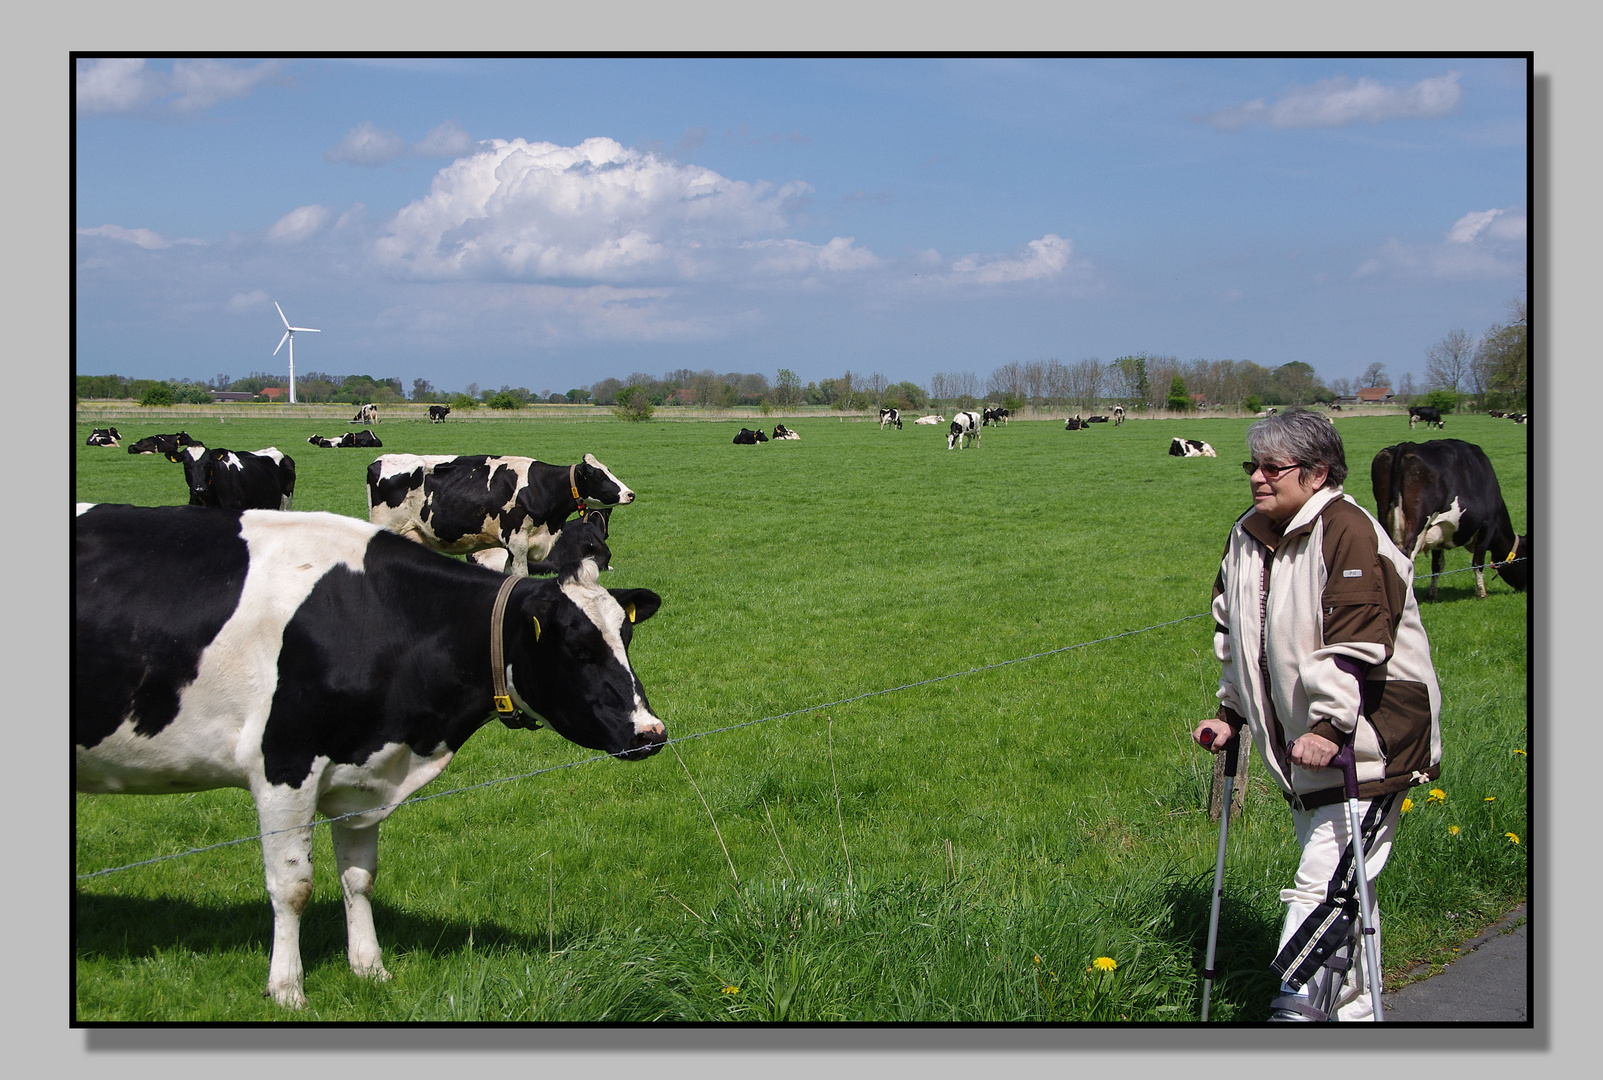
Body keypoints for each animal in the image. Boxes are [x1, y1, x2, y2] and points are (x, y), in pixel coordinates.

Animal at [73, 499, 663, 1006]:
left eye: (627, 638)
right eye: (578, 649)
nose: (650, 732)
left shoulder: (362, 775)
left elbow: (359, 878)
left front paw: (370, 968)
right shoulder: (283, 763)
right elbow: (292, 886)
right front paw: (287, 989)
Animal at [1365, 442, 1526, 602]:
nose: (1523, 589)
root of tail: (1405, 446)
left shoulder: (1438, 532)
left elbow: (1437, 565)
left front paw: (1432, 594)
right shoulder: (1487, 526)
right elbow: (1478, 562)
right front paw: (1481, 593)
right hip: (1418, 524)